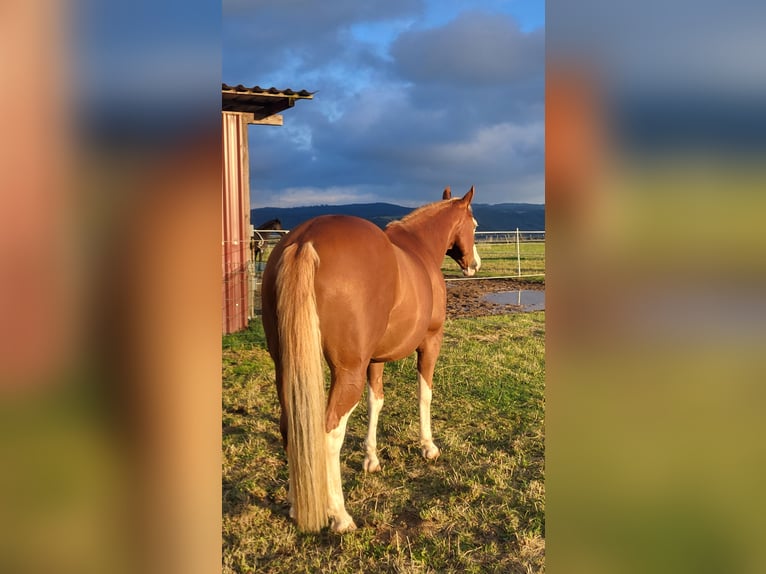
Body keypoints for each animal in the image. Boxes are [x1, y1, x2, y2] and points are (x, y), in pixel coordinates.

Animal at [260, 186, 481, 533]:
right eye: (474, 224)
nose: (475, 264)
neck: (419, 249)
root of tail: (305, 240)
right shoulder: (431, 342)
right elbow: (424, 394)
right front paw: (428, 446)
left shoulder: (375, 359)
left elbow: (375, 401)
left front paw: (371, 459)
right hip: (346, 372)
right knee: (328, 434)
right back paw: (340, 516)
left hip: (285, 369)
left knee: (291, 428)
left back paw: (297, 507)